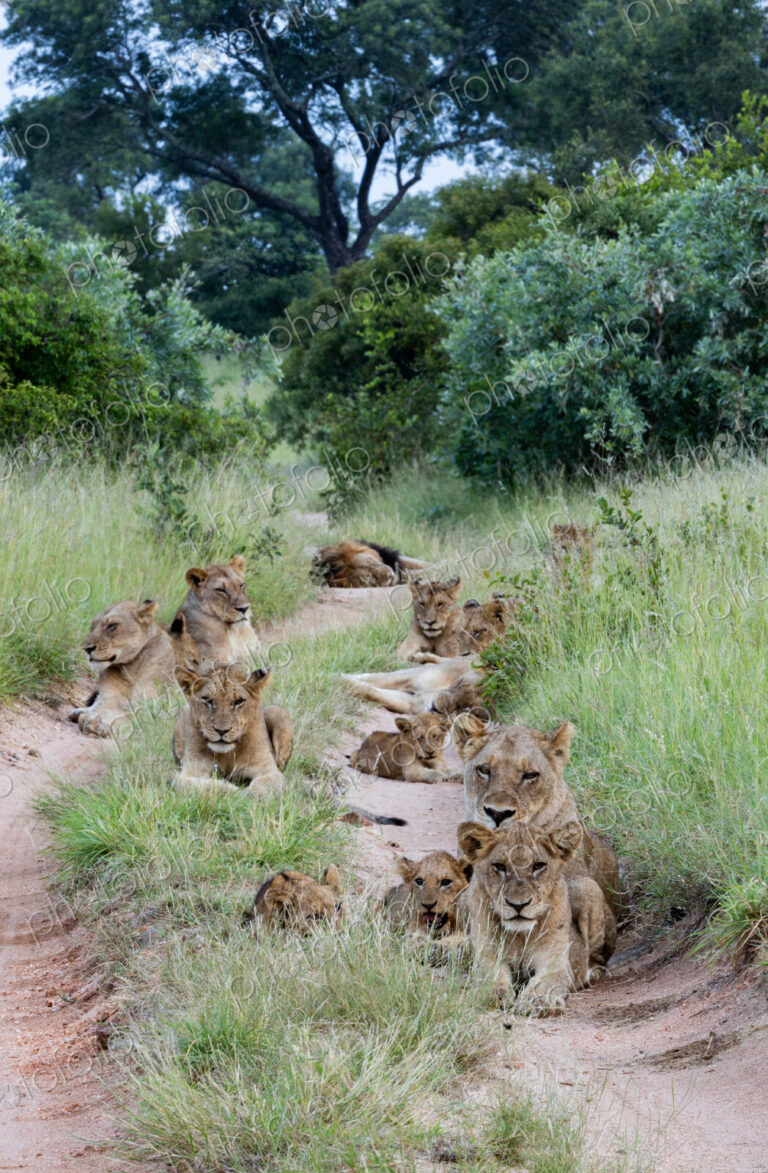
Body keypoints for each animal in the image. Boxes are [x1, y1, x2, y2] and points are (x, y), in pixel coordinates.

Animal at [68, 599, 176, 736]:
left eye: (112, 626)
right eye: (92, 627)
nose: (87, 649)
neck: (131, 669)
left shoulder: (156, 709)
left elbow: (129, 716)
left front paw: (99, 723)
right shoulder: (108, 699)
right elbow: (103, 708)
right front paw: (92, 718)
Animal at [172, 662, 292, 796]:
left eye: (239, 701)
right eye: (207, 700)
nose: (221, 731)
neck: (228, 755)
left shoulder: (269, 770)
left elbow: (263, 787)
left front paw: (249, 794)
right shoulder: (190, 771)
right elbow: (200, 785)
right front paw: (235, 791)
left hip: (279, 713)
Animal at [458, 819, 593, 1013]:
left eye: (538, 865)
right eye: (500, 866)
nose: (518, 905)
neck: (520, 935)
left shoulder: (555, 961)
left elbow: (546, 982)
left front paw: (536, 1000)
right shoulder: (488, 955)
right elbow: (490, 977)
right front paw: (493, 995)